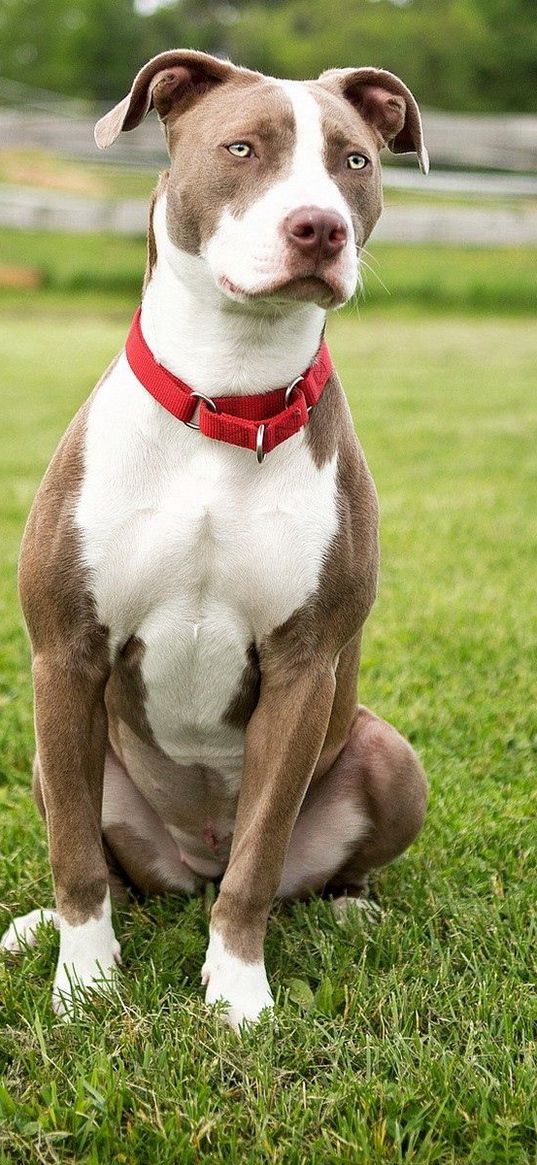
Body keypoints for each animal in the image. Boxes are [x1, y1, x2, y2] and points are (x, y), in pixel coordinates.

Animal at [0, 50, 426, 1029]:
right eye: (241, 148)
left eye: (353, 160)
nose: (318, 228)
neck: (229, 397)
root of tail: (188, 865)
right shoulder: (64, 653)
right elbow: (75, 852)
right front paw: (84, 984)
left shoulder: (302, 668)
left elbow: (259, 858)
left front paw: (238, 993)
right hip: (59, 751)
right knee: (109, 863)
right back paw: (41, 926)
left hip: (388, 752)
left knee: (285, 871)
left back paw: (350, 908)